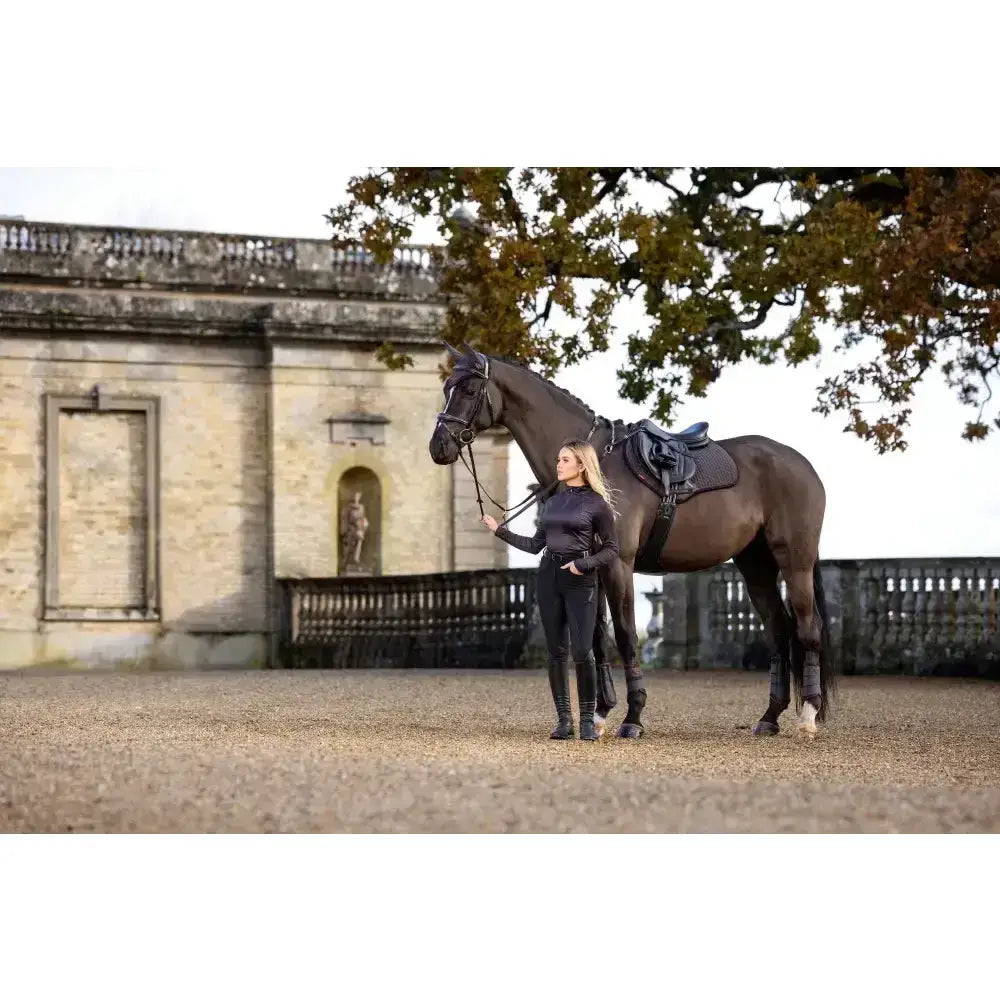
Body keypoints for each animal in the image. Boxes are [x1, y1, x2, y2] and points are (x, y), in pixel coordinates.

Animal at [428, 343, 835, 741]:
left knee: (808, 627)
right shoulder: (586, 568)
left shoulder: (617, 565)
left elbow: (624, 635)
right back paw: (770, 717)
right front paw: (601, 713)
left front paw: (632, 717)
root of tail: (801, 464)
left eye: (468, 390)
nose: (438, 446)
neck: (594, 469)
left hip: (794, 561)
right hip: (756, 566)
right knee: (779, 630)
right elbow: (594, 637)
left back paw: (808, 716)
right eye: (446, 387)